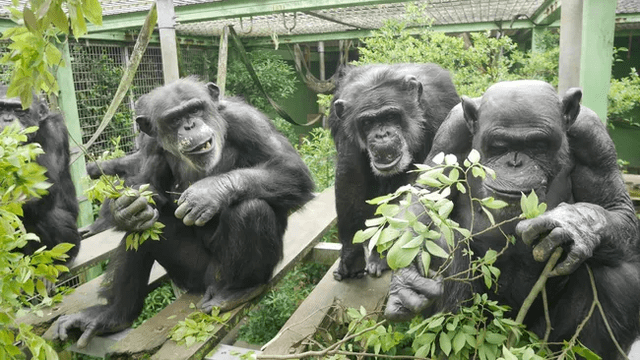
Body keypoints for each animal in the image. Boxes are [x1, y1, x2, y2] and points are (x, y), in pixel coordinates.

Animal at [0, 87, 81, 262]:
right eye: (1, 108)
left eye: (19, 110)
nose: (7, 119)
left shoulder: (52, 131)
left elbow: (39, 187)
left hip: (72, 243)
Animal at [55, 77, 316, 348]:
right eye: (174, 119)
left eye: (195, 109)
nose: (190, 125)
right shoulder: (149, 144)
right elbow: (144, 185)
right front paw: (125, 209)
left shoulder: (248, 121)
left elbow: (291, 169)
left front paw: (208, 192)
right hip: (189, 274)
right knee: (144, 230)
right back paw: (113, 314)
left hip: (222, 274)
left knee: (251, 209)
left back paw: (238, 291)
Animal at [330, 63, 460, 280]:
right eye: (367, 122)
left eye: (391, 116)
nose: (382, 135)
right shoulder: (344, 127)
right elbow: (350, 177)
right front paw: (351, 255)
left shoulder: (440, 110)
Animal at [384, 80, 640, 358]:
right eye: (500, 146)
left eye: (537, 145)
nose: (515, 162)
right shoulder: (451, 132)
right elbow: (426, 196)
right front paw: (406, 283)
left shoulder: (593, 139)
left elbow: (617, 207)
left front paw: (573, 225)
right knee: (444, 244)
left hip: (542, 338)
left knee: (617, 273)